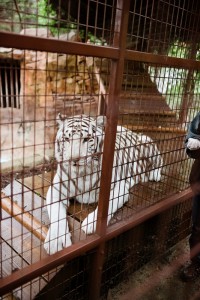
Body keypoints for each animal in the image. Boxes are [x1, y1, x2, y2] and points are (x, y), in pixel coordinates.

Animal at [44, 113, 162, 254]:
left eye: (87, 139)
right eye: (67, 139)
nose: (74, 160)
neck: (82, 175)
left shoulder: (119, 187)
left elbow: (107, 205)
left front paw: (91, 224)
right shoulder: (56, 190)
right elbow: (56, 214)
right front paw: (55, 241)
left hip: (147, 141)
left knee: (160, 161)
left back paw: (155, 175)